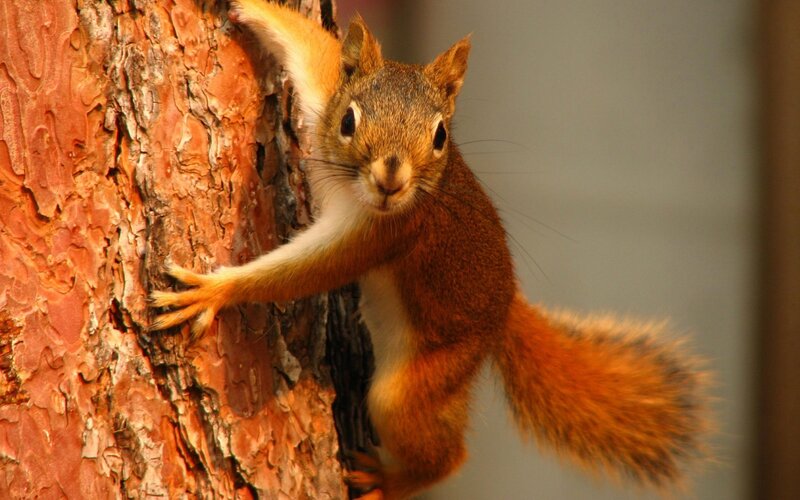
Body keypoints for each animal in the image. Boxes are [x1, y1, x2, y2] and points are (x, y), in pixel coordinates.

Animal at [150, 1, 710, 498]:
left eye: (440, 135)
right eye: (348, 120)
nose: (391, 180)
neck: (352, 189)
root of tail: (504, 309)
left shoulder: (384, 233)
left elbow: (306, 272)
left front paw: (214, 291)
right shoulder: (323, 96)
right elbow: (313, 48)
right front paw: (245, 6)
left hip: (426, 379)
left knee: (444, 453)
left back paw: (389, 481)